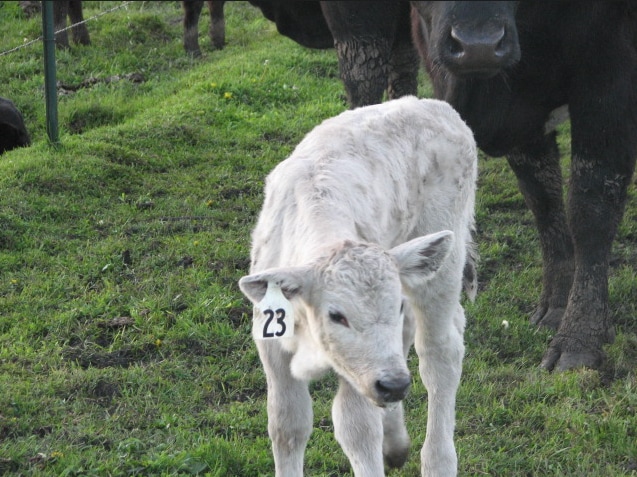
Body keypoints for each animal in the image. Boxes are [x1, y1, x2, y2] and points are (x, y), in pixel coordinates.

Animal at [240, 96, 476, 476]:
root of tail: (432, 104)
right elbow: (287, 424)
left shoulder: (359, 371)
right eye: (336, 315)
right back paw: (395, 443)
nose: (394, 384)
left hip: (444, 259)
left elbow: (356, 428)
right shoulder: (271, 343)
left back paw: (437, 461)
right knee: (408, 335)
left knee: (439, 352)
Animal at [410, 1, 632, 370]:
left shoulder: (611, 77)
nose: (478, 46)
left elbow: (592, 211)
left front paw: (581, 336)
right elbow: (544, 201)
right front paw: (557, 305)